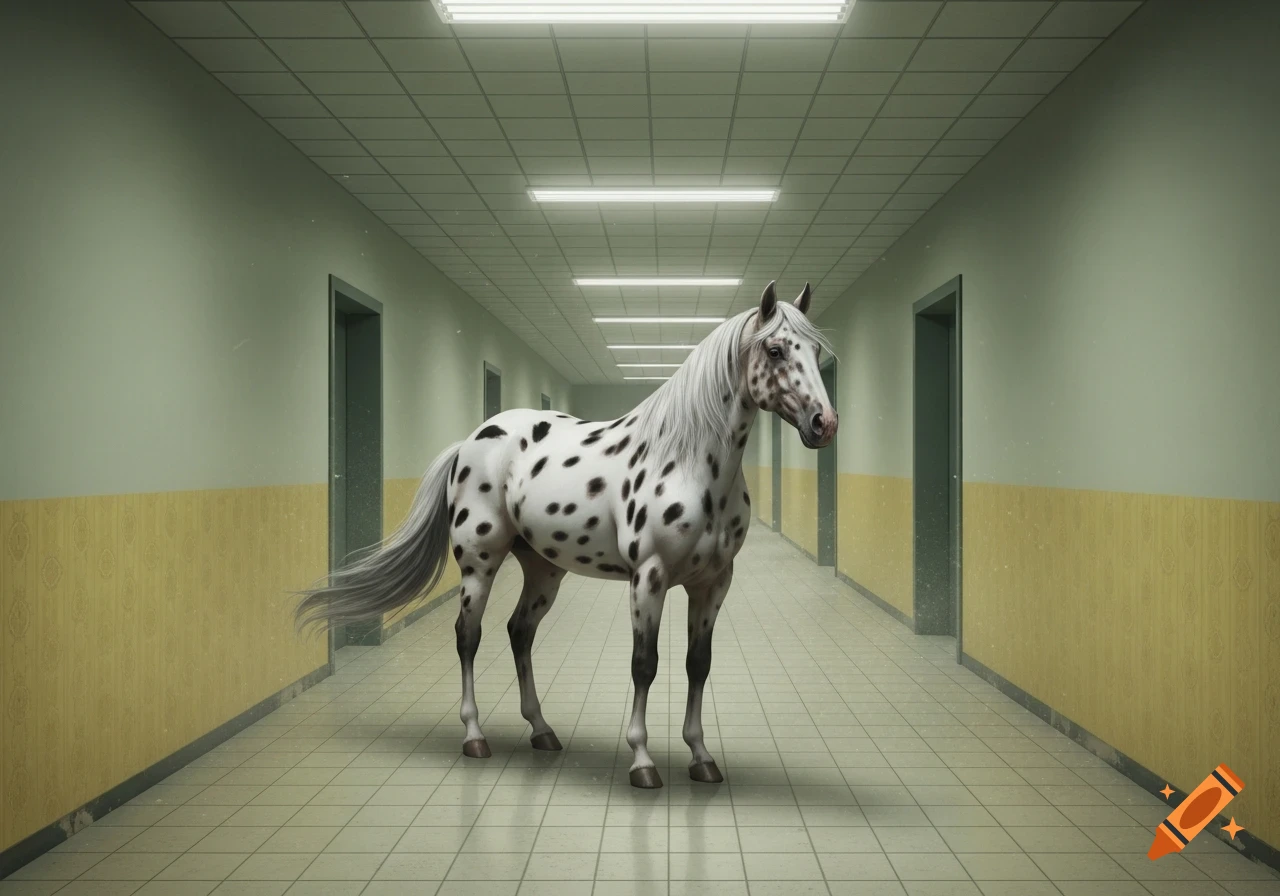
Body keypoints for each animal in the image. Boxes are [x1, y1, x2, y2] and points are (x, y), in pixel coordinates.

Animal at [296, 280, 838, 789]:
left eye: (815, 351)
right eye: (775, 350)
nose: (824, 423)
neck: (690, 461)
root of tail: (471, 440)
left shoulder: (714, 582)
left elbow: (697, 664)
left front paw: (702, 757)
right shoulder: (650, 577)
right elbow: (645, 663)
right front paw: (642, 762)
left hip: (543, 569)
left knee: (519, 632)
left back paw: (542, 731)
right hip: (478, 563)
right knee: (468, 636)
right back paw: (474, 737)